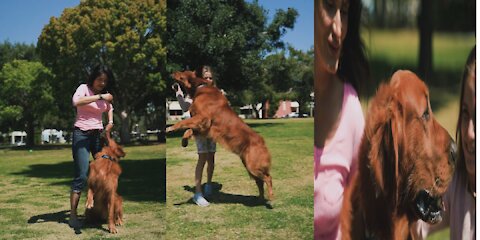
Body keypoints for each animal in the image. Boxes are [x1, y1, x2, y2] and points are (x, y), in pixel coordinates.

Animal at [167, 70, 274, 202]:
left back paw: (270, 197)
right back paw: (260, 198)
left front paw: (170, 128)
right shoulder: (203, 125)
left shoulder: (204, 118)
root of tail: (262, 141)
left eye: (181, 73)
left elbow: (183, 123)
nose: (172, 72)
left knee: (268, 178)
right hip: (249, 165)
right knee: (260, 181)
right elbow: (188, 130)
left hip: (253, 165)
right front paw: (184, 141)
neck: (199, 87)